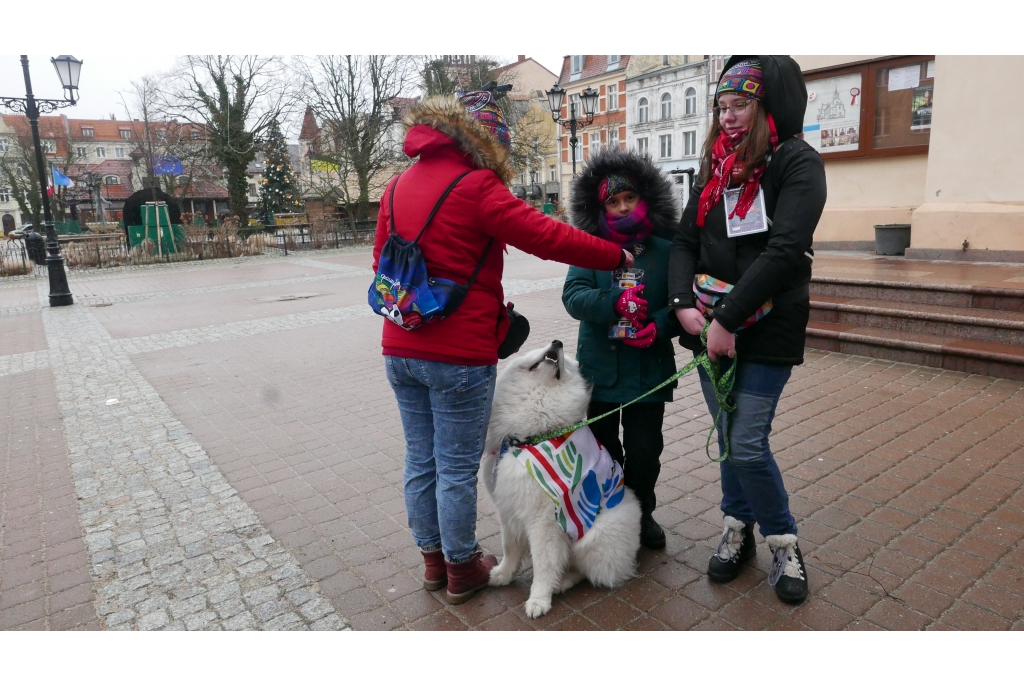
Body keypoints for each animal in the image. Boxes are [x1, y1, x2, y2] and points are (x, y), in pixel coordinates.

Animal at [479, 339, 638, 618]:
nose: (558, 342)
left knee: (584, 572)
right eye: (542, 345)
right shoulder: (509, 507)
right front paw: (503, 574)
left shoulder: (545, 522)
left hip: (593, 535)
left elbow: (544, 563)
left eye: (569, 364)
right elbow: (510, 546)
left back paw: (560, 583)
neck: (533, 435)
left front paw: (538, 600)